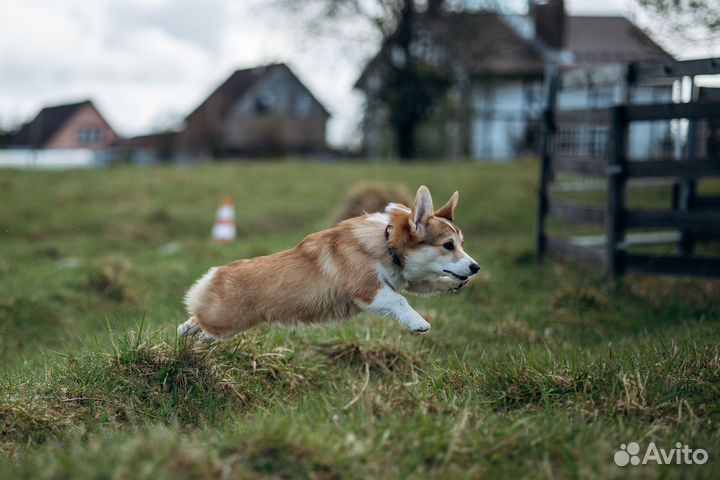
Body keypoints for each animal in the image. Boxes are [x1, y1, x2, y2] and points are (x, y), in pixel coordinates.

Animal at [176, 185, 478, 342]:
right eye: (448, 245)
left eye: (462, 243)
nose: (476, 268)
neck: (387, 242)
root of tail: (217, 273)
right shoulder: (368, 290)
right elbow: (400, 301)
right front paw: (419, 323)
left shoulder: (405, 279)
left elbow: (427, 282)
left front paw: (452, 284)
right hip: (224, 320)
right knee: (198, 317)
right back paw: (184, 332)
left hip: (227, 326)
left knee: (198, 325)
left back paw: (189, 334)